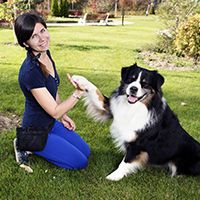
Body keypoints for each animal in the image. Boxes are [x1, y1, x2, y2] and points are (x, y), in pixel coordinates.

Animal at [71, 64, 200, 181]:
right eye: (131, 79)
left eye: (145, 83)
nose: (133, 88)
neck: (135, 106)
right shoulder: (111, 108)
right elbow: (96, 93)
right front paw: (80, 79)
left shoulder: (138, 143)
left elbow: (126, 161)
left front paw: (114, 176)